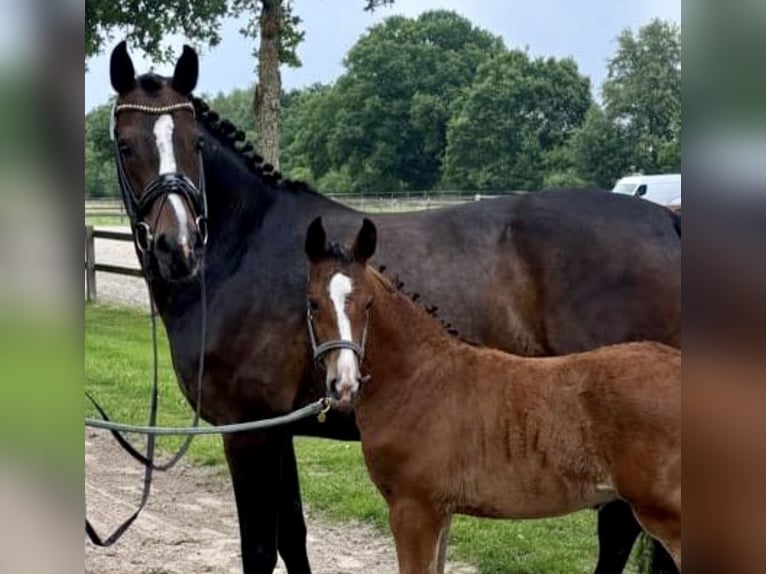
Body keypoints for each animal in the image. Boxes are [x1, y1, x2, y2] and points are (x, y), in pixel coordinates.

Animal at [303, 217, 682, 573]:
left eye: (368, 303)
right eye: (313, 303)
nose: (344, 383)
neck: (418, 380)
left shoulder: (413, 509)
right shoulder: (439, 511)